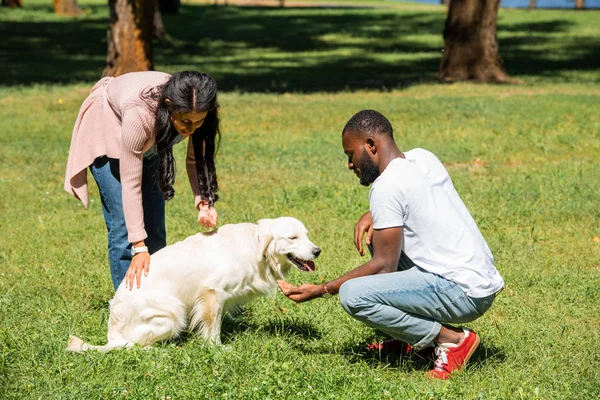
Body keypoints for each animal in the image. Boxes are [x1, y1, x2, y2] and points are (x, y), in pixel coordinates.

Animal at [66, 217, 322, 352]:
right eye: (292, 238)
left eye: (307, 234)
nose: (317, 251)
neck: (255, 247)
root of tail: (112, 335)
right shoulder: (212, 292)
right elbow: (213, 326)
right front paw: (217, 348)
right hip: (173, 311)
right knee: (135, 344)